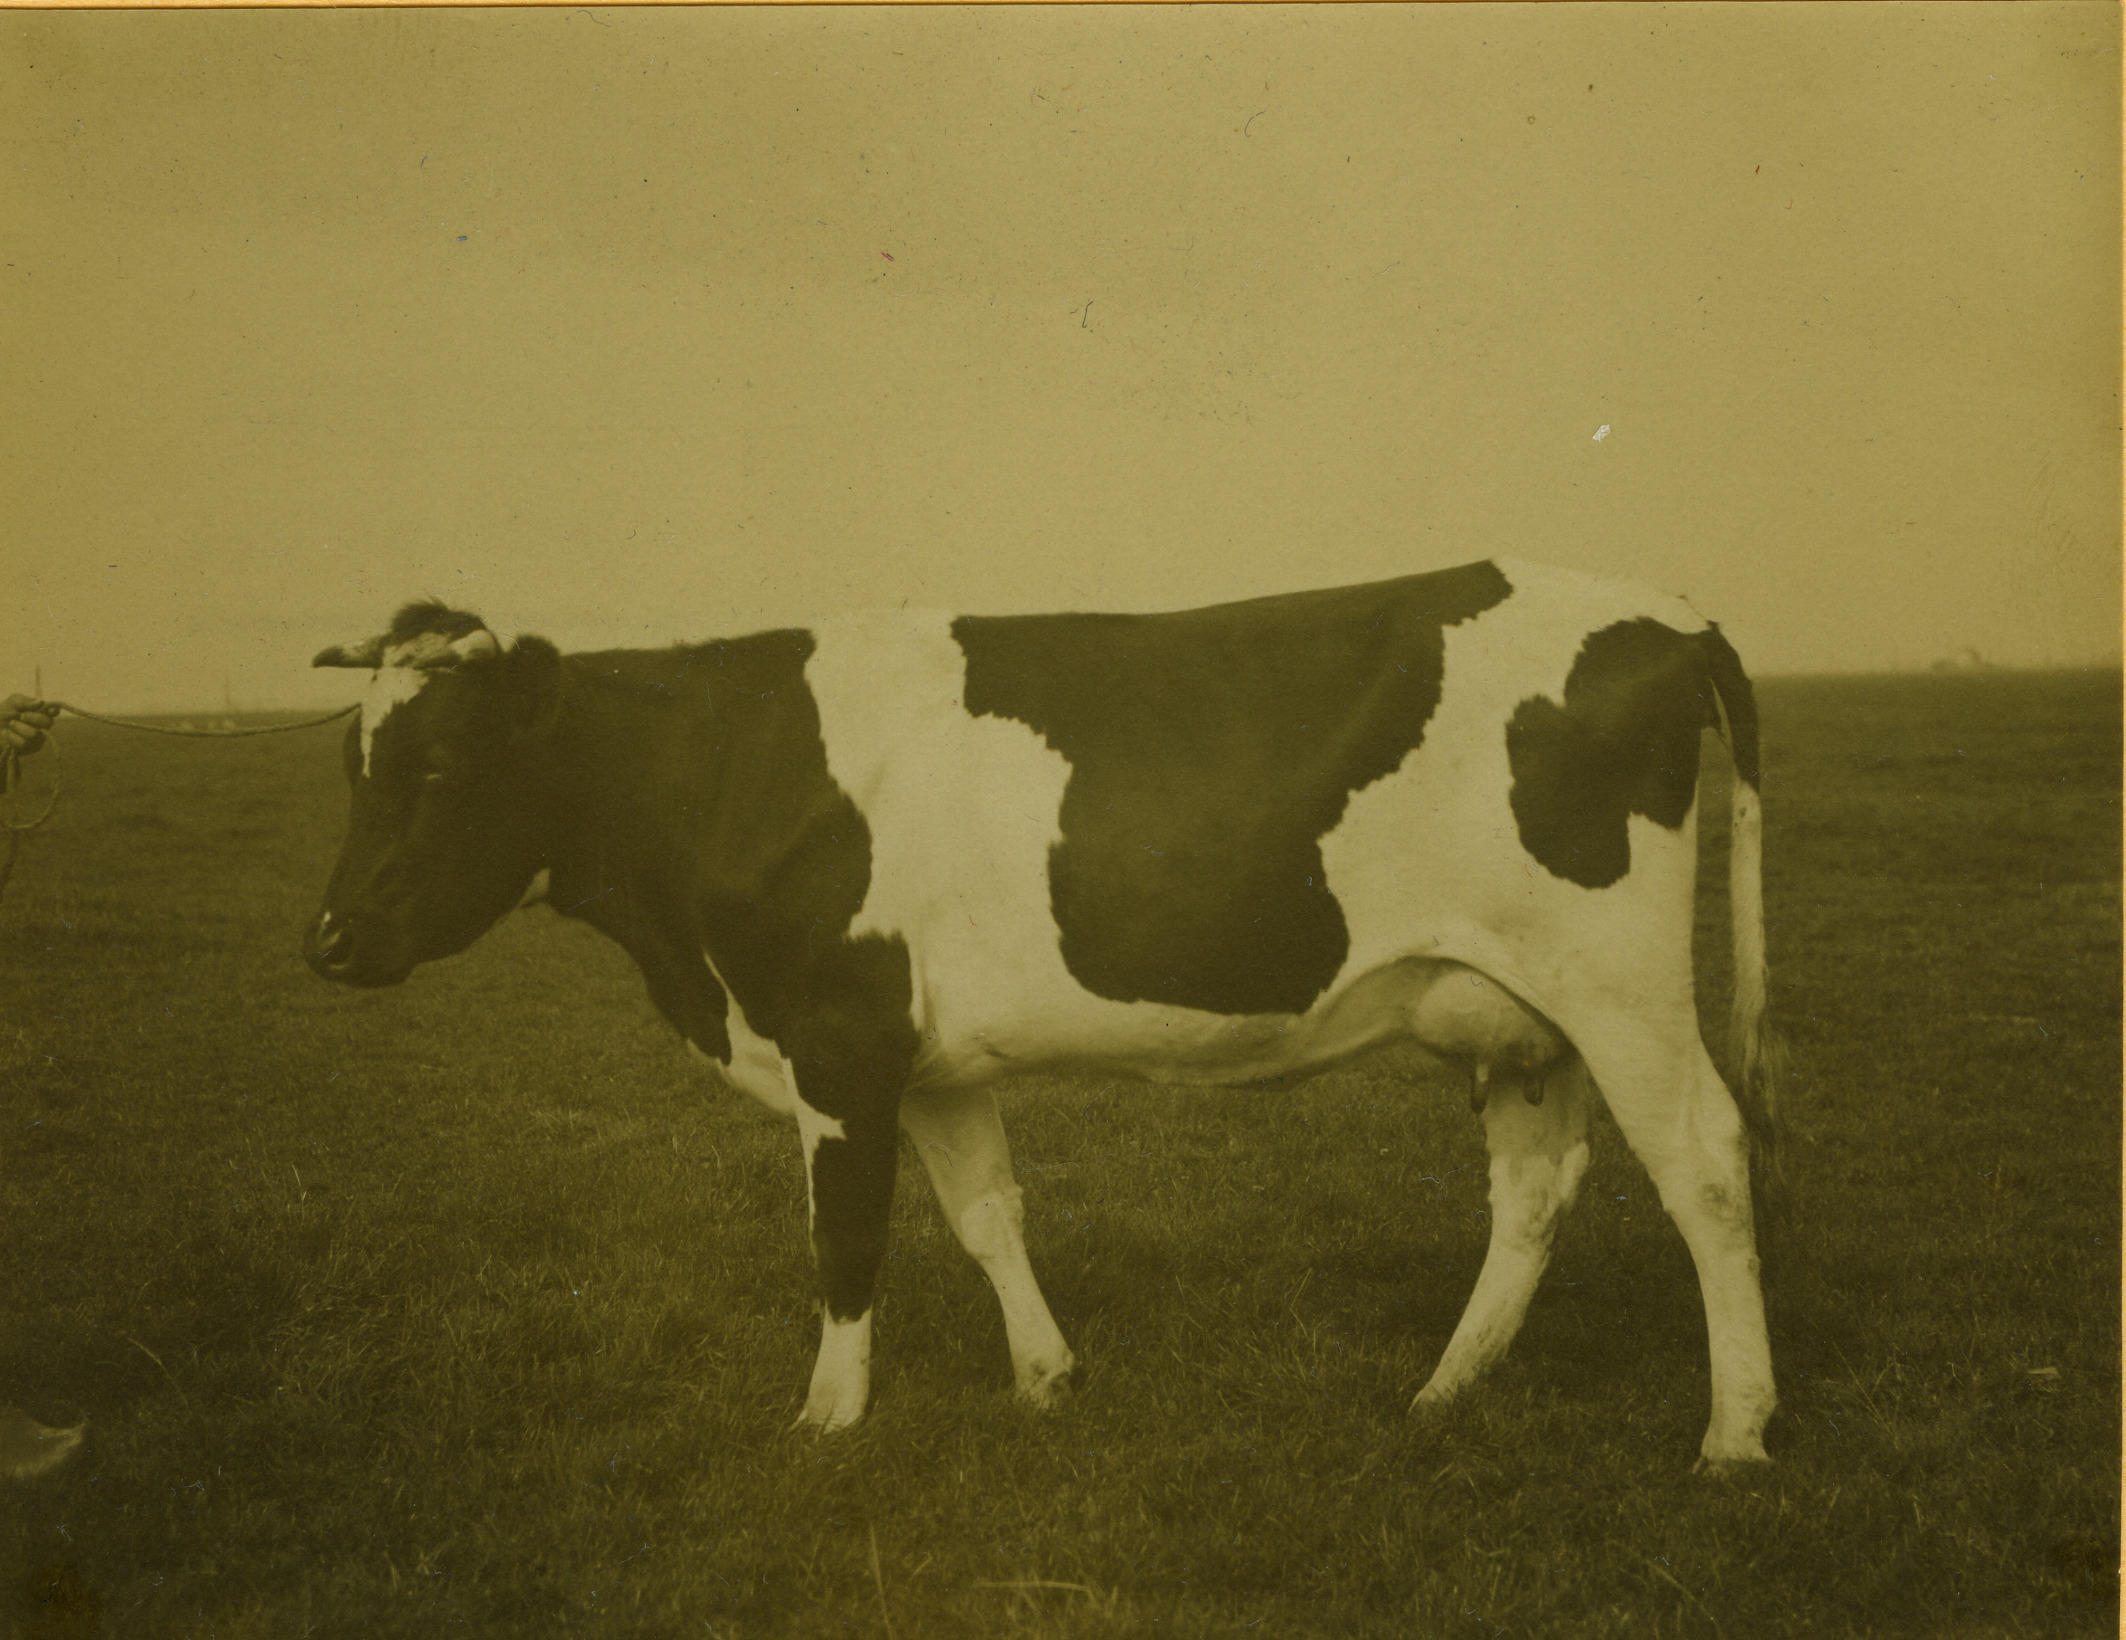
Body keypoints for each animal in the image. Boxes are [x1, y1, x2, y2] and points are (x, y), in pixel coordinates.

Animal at [304, 557, 1781, 1467]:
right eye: (352, 761)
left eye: (440, 763)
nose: (326, 939)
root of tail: (1667, 613)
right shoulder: (931, 1058)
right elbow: (986, 1213)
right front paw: (1044, 1378)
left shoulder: (836, 1039)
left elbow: (847, 1239)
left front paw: (827, 1417)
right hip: (1524, 1012)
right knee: (1534, 1186)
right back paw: (1445, 1388)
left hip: (1618, 981)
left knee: (1704, 1162)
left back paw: (1734, 1428)